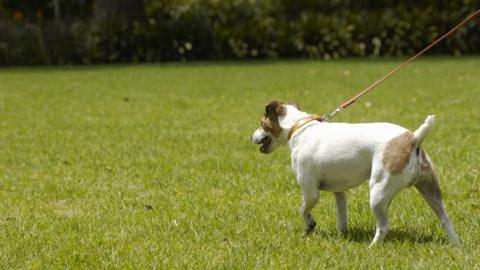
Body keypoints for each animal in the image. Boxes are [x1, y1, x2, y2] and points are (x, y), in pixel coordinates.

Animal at [249, 100, 460, 246]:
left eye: (261, 122)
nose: (251, 137)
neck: (300, 128)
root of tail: (413, 138)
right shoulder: (339, 192)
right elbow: (342, 216)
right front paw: (342, 236)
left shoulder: (310, 192)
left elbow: (303, 209)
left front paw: (310, 225)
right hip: (429, 189)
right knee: (445, 219)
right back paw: (456, 245)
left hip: (377, 192)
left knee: (383, 226)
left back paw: (372, 247)